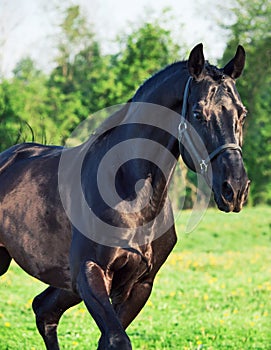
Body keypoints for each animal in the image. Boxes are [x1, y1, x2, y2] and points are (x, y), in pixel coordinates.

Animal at [0, 44, 251, 350]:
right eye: (197, 113)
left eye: (242, 114)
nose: (235, 189)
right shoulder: (90, 272)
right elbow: (117, 339)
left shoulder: (139, 284)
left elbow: (108, 339)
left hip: (66, 283)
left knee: (44, 309)